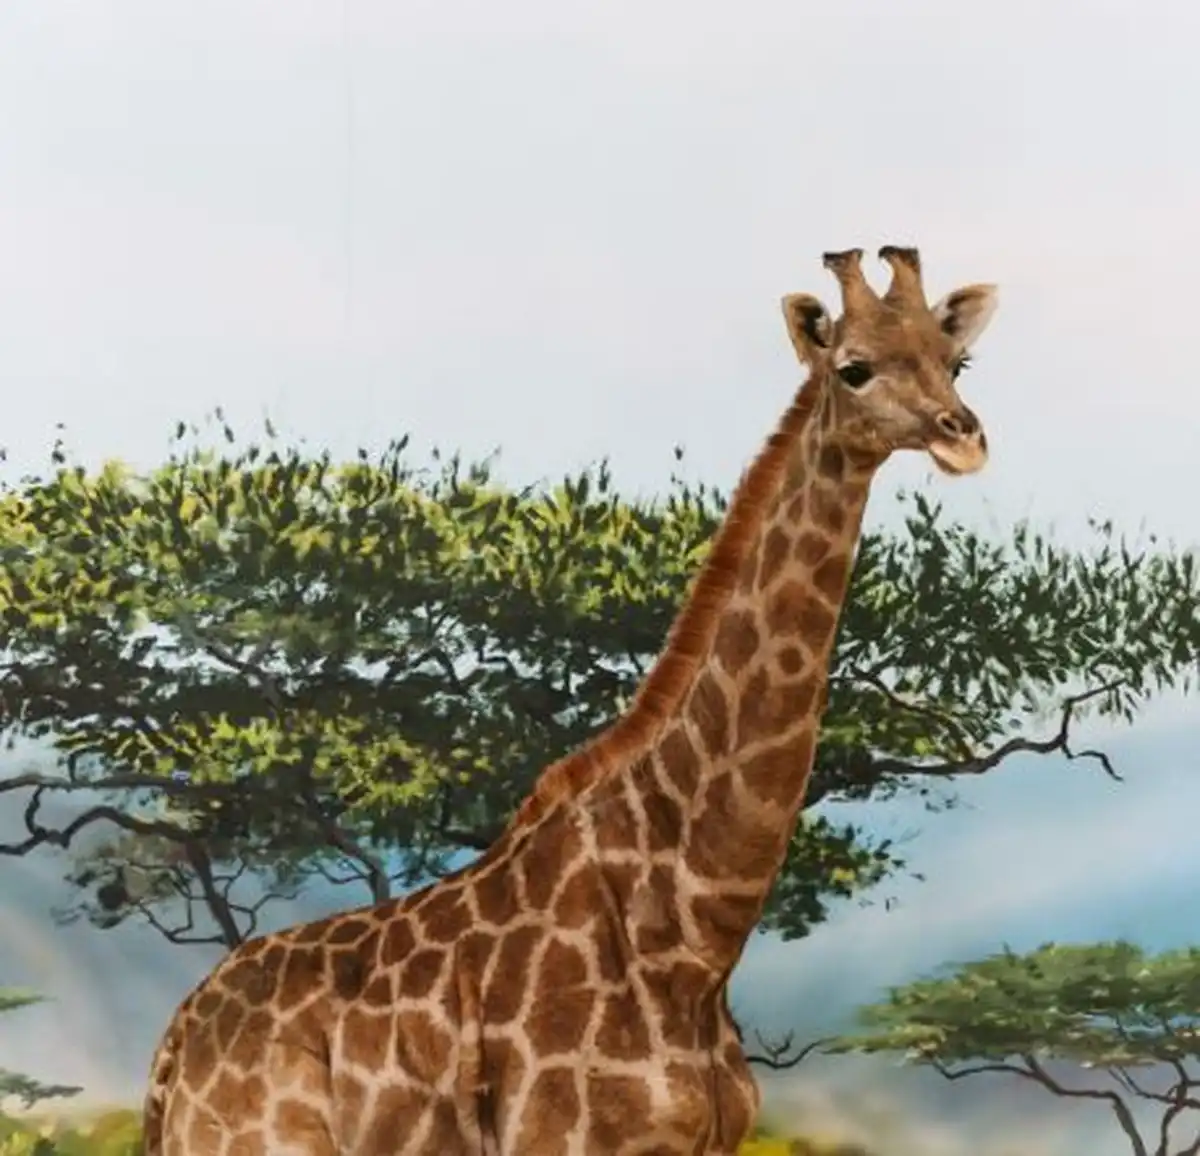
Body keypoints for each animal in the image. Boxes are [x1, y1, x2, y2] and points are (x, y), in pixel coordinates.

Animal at [142, 245, 999, 1156]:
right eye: (854, 368)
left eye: (956, 361)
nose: (964, 437)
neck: (694, 932)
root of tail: (174, 1048)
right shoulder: (566, 1140)